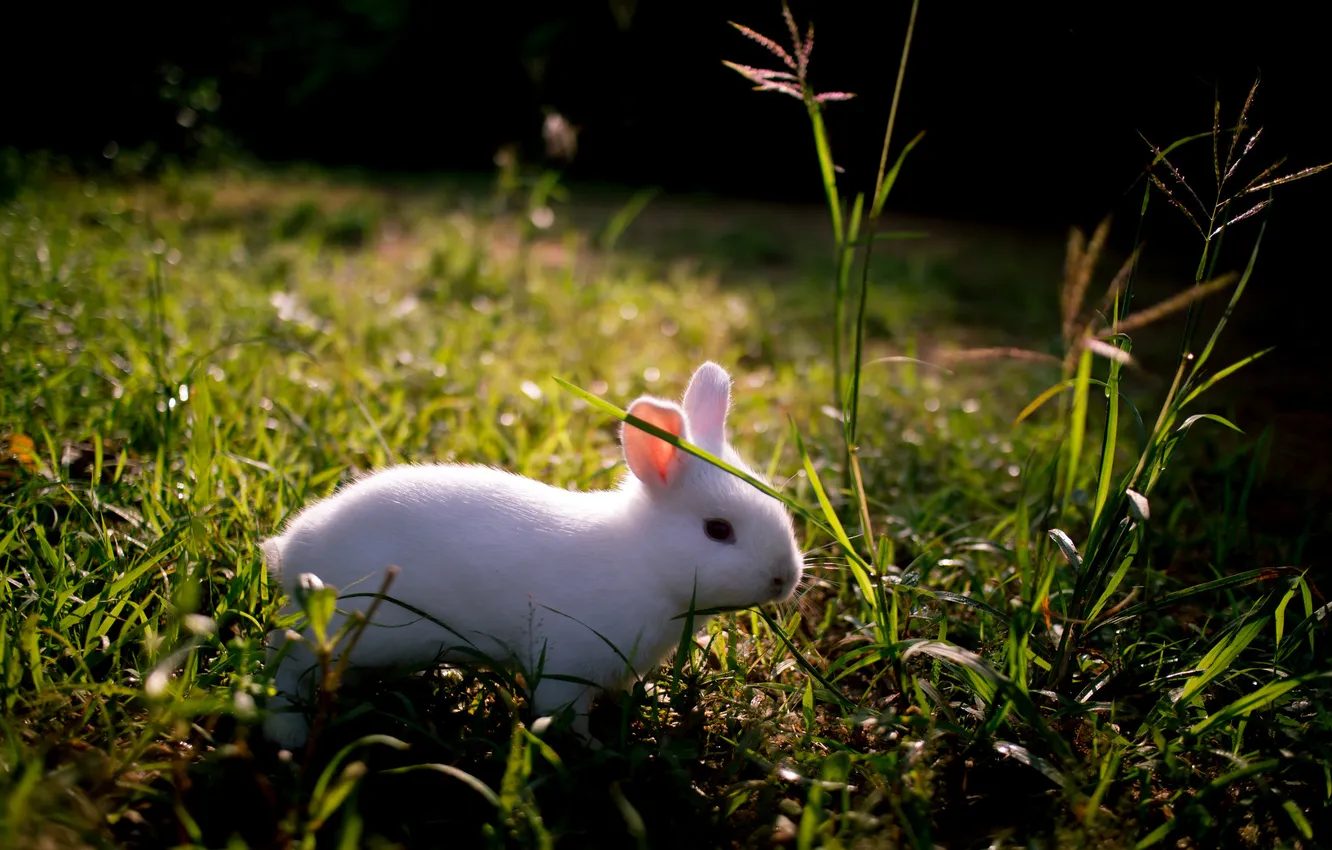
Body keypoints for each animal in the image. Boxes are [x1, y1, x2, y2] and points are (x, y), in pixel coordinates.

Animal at [260, 361, 804, 749]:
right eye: (718, 530)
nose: (785, 578)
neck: (642, 563)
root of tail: (292, 546)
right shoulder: (566, 665)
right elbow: (563, 714)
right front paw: (593, 749)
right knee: (286, 656)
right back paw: (287, 734)